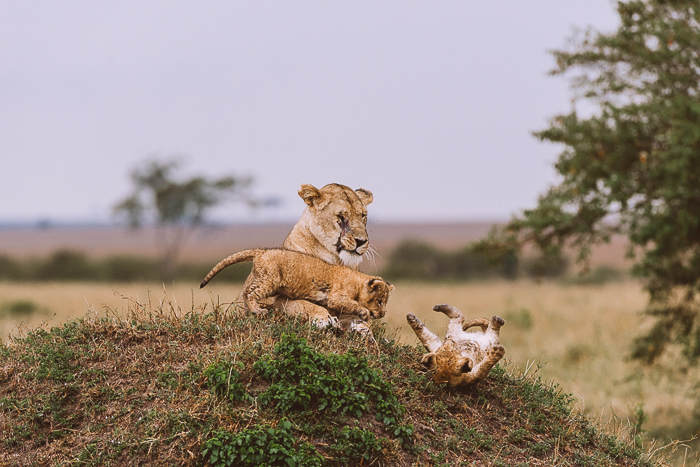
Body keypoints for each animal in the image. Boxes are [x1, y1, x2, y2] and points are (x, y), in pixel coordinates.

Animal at [200, 248, 393, 321]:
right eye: (379, 302)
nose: (383, 314)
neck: (358, 283)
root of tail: (262, 251)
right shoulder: (335, 296)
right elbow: (351, 304)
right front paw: (364, 312)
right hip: (270, 280)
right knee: (251, 293)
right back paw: (258, 311)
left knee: (246, 291)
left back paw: (249, 312)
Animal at [239, 183, 375, 330]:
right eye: (341, 216)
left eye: (363, 216)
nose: (361, 241)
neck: (336, 259)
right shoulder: (278, 300)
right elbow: (305, 305)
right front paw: (325, 319)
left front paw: (363, 327)